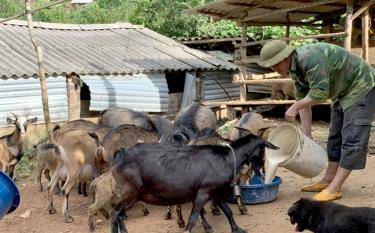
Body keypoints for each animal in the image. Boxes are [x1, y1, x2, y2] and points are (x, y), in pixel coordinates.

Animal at [110, 133, 278, 233]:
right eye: (263, 150)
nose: (261, 169)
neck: (229, 158)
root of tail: (120, 154)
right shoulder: (203, 193)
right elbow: (193, 218)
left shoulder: (215, 193)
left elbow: (228, 211)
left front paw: (237, 229)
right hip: (130, 193)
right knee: (115, 212)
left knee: (118, 214)